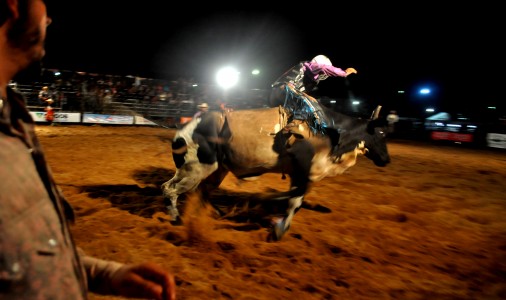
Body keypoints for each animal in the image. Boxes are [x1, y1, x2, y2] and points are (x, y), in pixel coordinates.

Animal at [162, 85, 392, 240]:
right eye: (381, 133)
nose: (386, 160)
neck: (331, 132)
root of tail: (182, 131)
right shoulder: (303, 174)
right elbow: (295, 203)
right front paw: (279, 230)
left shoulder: (298, 175)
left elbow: (294, 200)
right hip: (195, 168)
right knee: (170, 188)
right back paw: (177, 218)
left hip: (217, 169)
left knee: (202, 190)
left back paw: (213, 213)